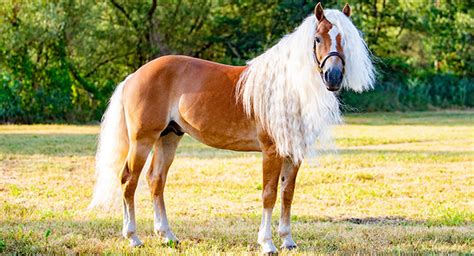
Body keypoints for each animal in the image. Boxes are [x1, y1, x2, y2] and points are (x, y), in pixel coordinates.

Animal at [90, 2, 374, 254]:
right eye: (316, 38)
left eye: (345, 39)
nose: (333, 76)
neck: (284, 87)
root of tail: (134, 76)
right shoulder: (271, 152)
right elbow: (269, 194)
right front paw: (267, 244)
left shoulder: (294, 154)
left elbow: (287, 194)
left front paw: (288, 241)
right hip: (143, 140)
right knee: (128, 180)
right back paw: (133, 238)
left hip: (169, 137)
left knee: (156, 180)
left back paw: (168, 236)